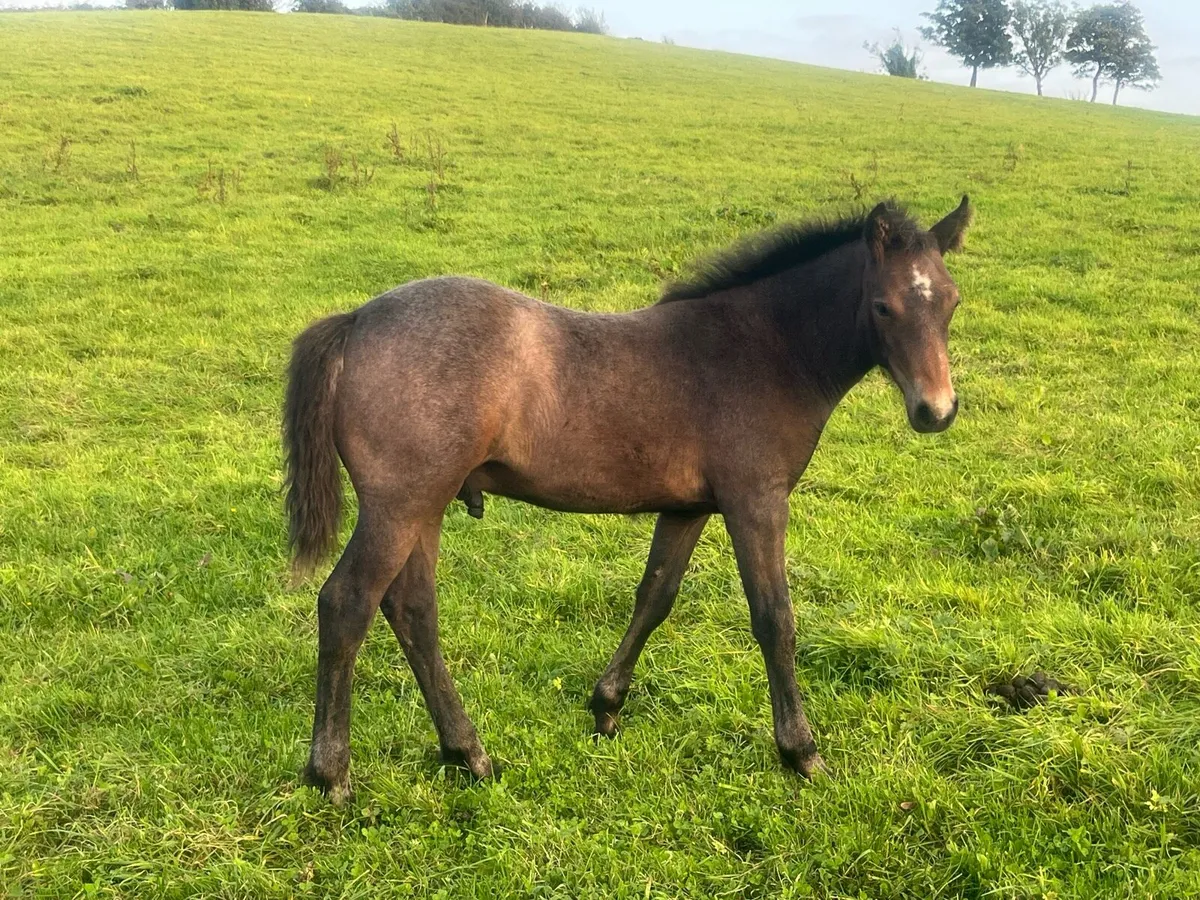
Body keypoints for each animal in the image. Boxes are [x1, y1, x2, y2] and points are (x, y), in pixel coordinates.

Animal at [283, 197, 973, 803]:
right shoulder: (756, 502)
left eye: (952, 302)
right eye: (883, 306)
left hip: (426, 506)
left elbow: (655, 597)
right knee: (348, 603)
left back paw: (469, 755)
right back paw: (332, 775)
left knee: (412, 609)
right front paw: (802, 753)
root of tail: (357, 321)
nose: (936, 411)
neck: (762, 349)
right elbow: (774, 618)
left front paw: (606, 707)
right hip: (400, 505)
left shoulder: (689, 508)